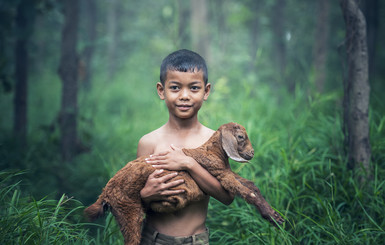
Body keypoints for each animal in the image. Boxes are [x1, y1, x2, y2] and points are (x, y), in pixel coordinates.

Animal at [84, 122, 282, 245]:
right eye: (240, 136)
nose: (252, 153)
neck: (213, 152)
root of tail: (105, 194)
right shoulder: (220, 173)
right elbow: (248, 192)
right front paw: (272, 217)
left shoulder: (225, 171)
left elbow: (252, 185)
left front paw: (275, 217)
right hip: (128, 210)